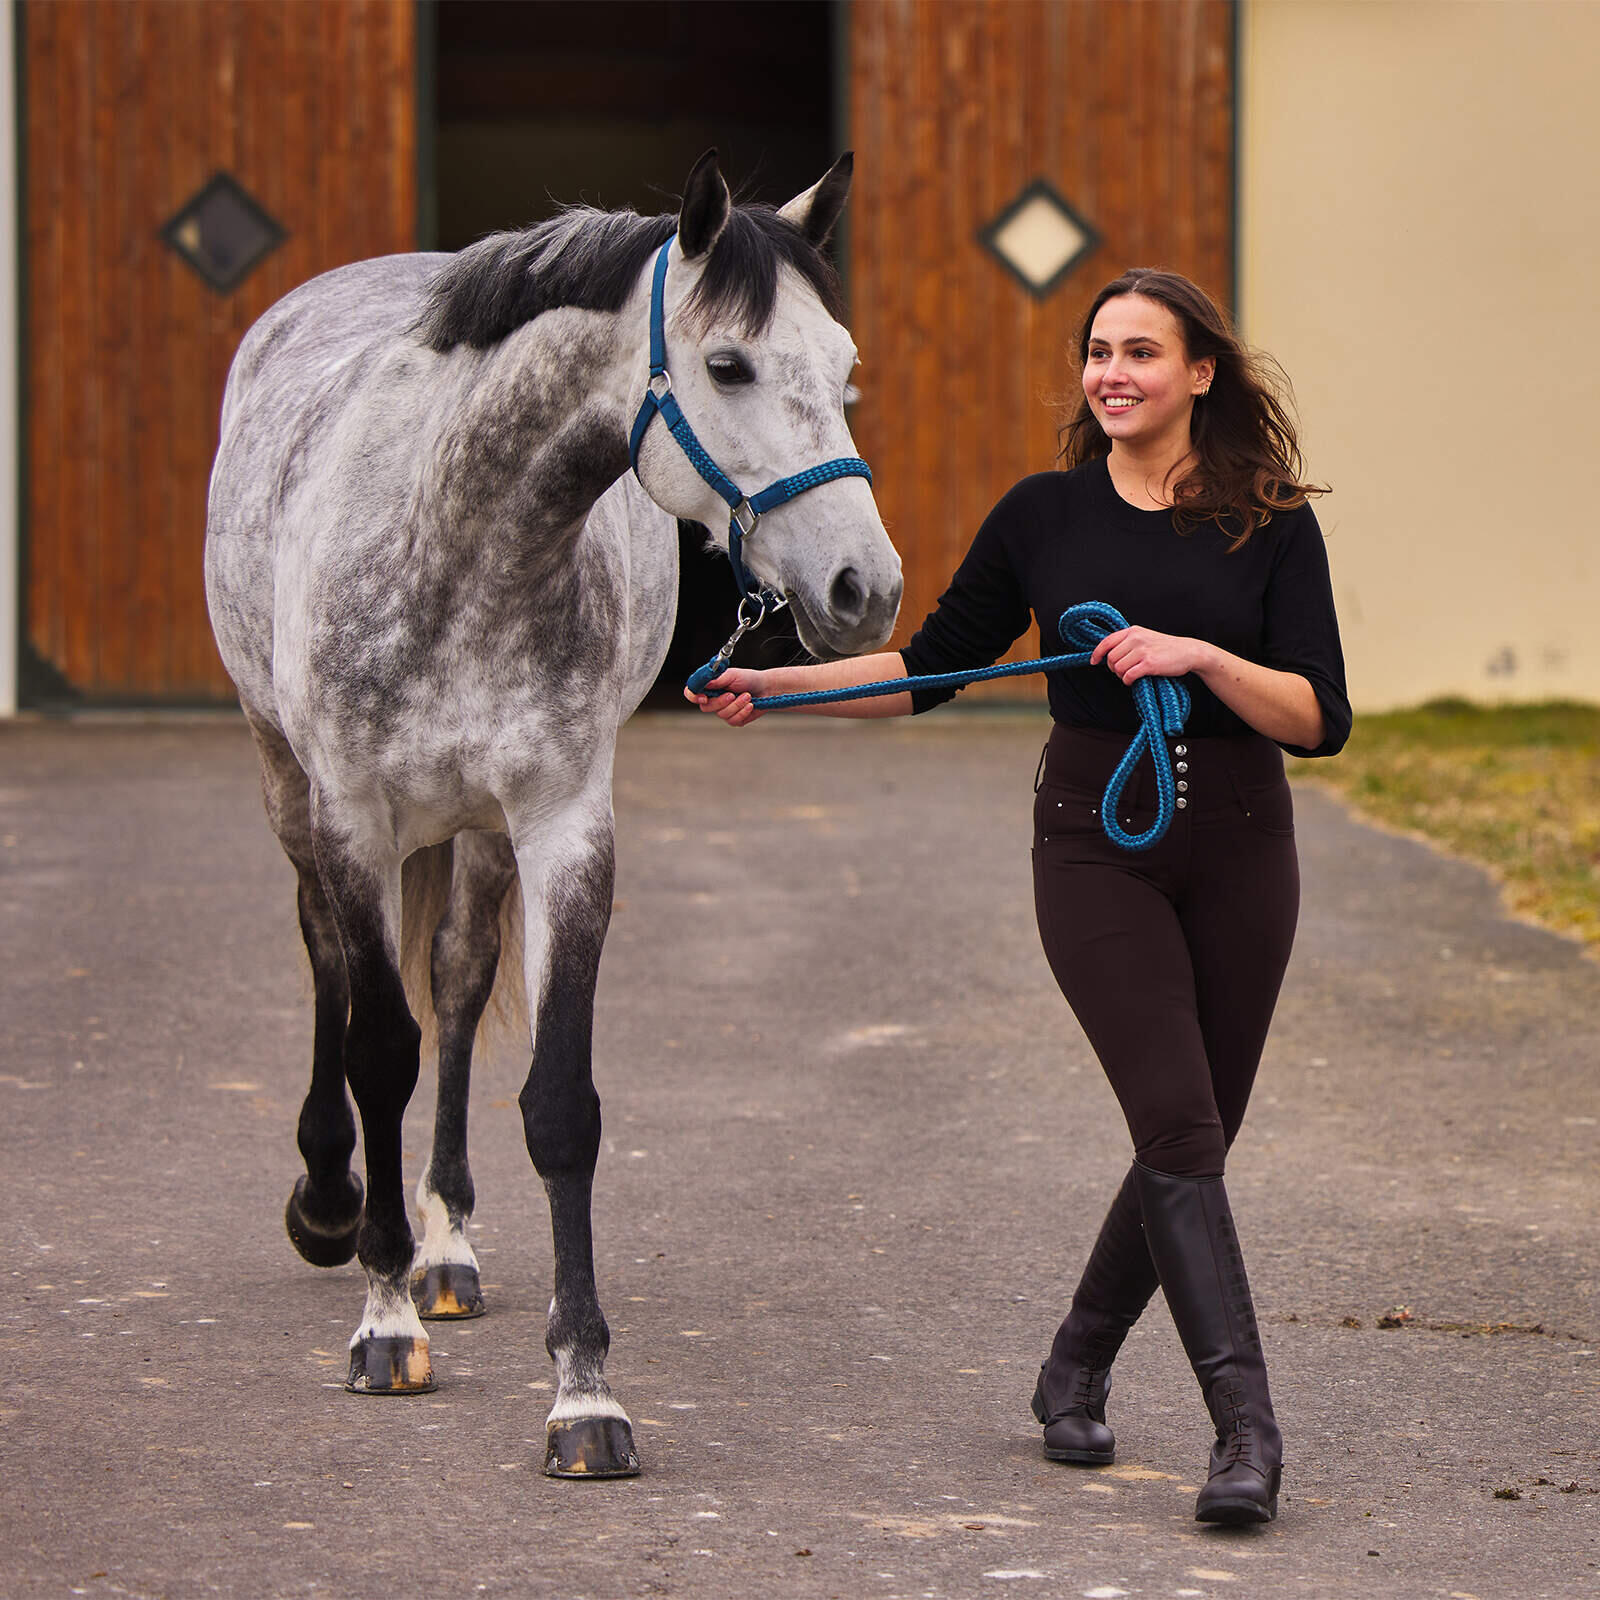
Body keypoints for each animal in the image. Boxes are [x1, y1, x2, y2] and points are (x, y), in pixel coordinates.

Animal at [203, 150, 902, 1478]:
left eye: (844, 368)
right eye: (726, 365)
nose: (864, 589)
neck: (454, 541)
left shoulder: (564, 828)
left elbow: (558, 1105)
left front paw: (583, 1394)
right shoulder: (352, 817)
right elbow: (377, 1047)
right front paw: (381, 1320)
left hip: (476, 836)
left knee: (458, 980)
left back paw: (447, 1246)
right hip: (286, 781)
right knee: (330, 965)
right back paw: (333, 1206)